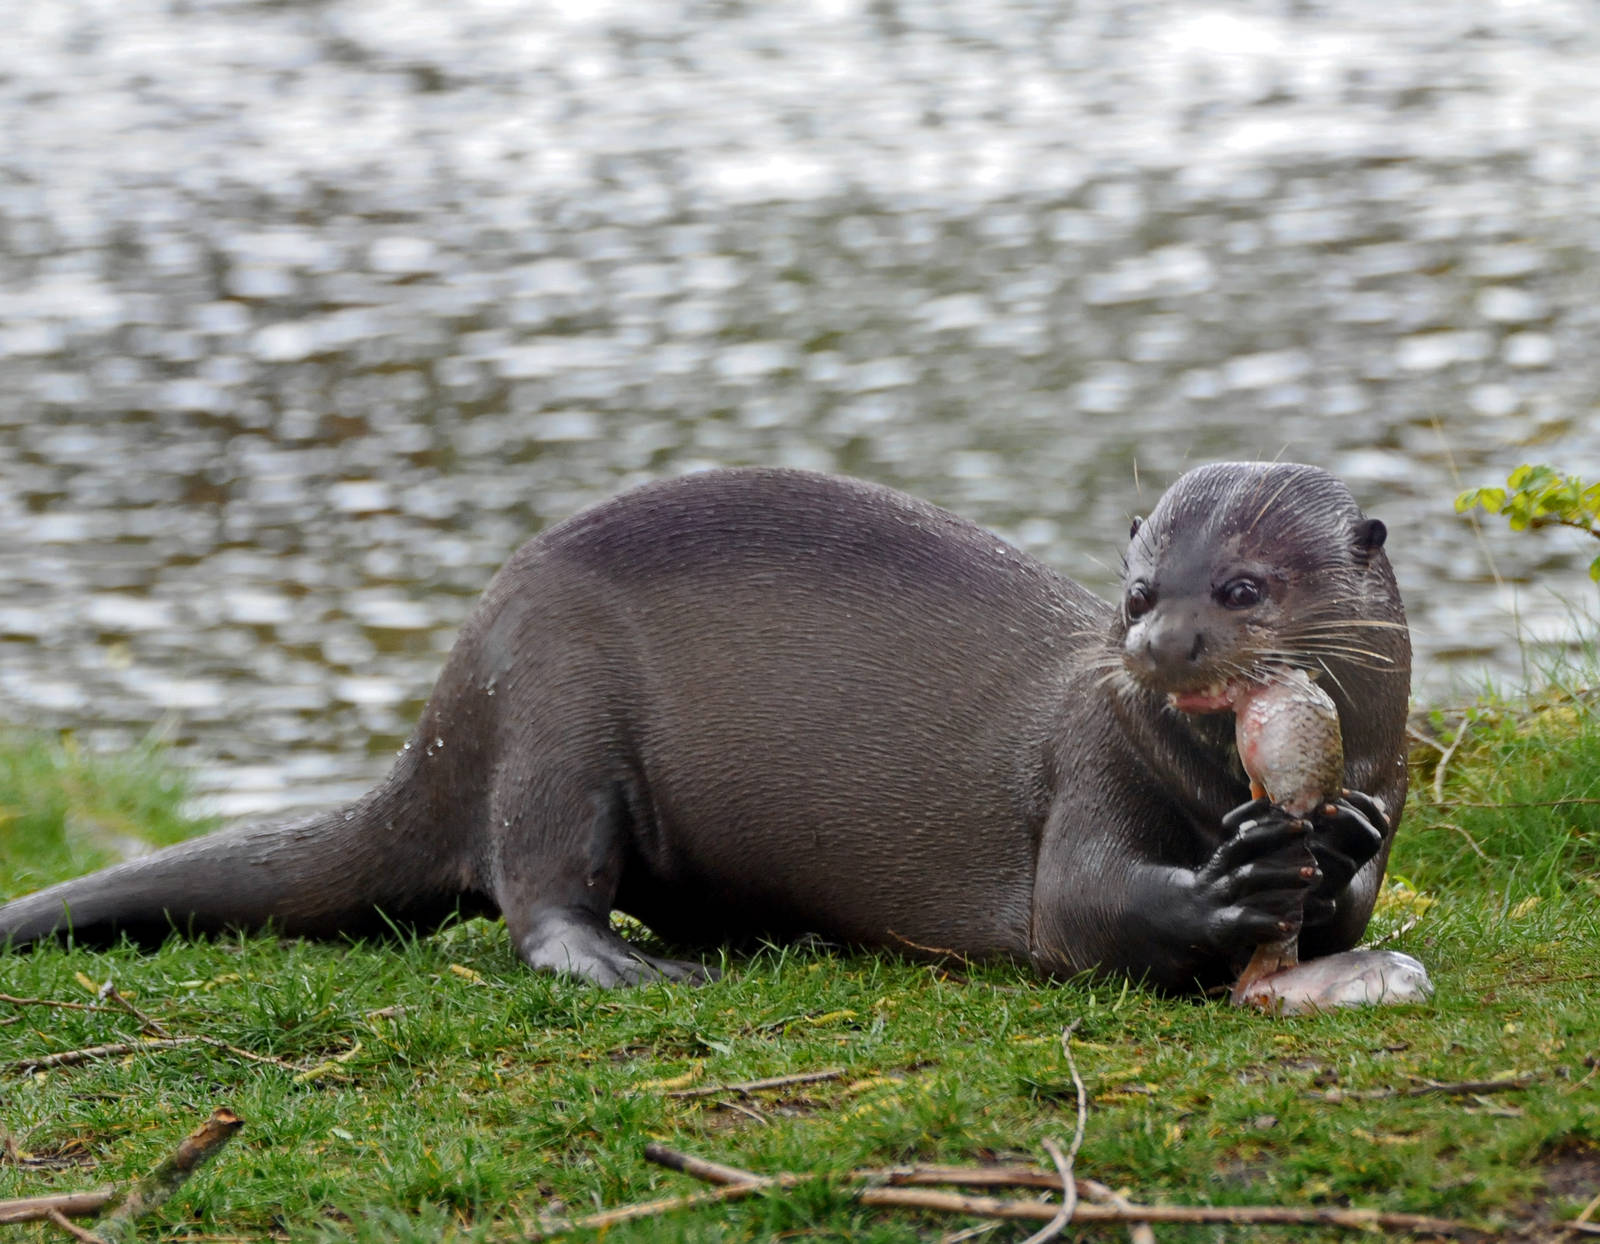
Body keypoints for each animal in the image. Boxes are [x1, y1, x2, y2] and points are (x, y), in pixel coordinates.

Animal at [0, 464, 1410, 992]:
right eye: (1135, 591)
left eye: (1240, 586)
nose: (1160, 644)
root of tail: (452, 703)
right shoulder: (1087, 769)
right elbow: (1083, 909)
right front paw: (1229, 887)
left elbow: (1354, 891)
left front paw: (1335, 844)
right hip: (554, 706)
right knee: (534, 886)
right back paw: (624, 964)